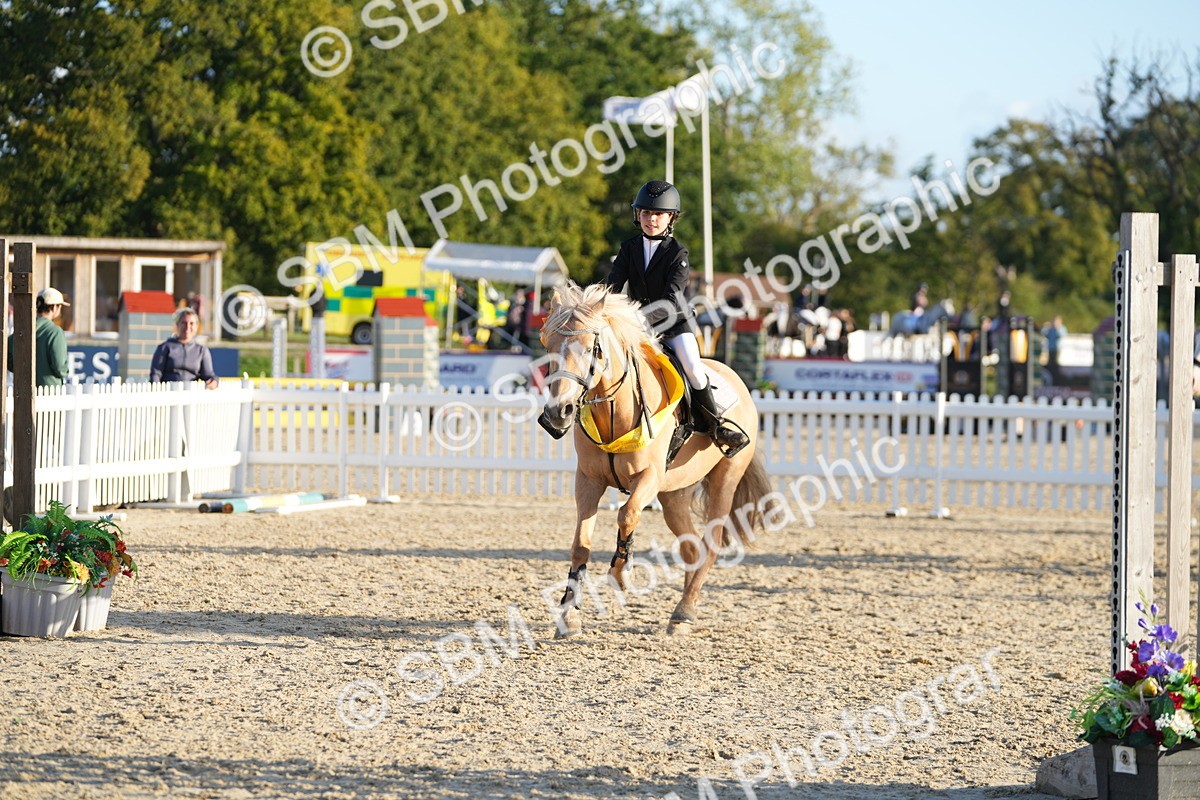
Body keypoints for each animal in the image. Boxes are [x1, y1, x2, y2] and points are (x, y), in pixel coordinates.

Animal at [537, 282, 772, 636]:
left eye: (591, 349)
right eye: (548, 345)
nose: (556, 414)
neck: (614, 411)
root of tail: (734, 376)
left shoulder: (647, 478)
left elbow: (627, 514)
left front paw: (622, 574)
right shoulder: (588, 481)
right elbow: (581, 543)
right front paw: (569, 614)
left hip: (724, 479)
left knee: (711, 542)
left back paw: (685, 611)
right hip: (674, 494)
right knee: (691, 547)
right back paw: (685, 607)